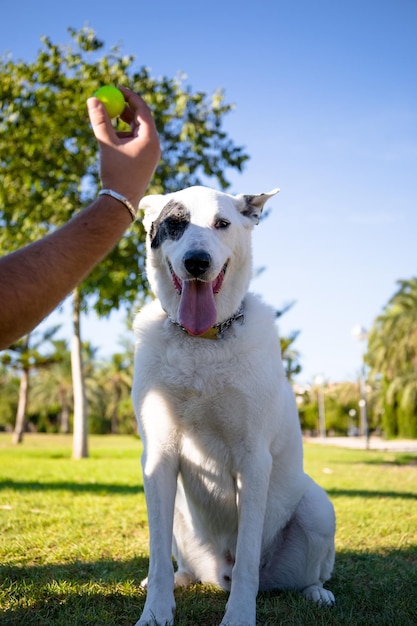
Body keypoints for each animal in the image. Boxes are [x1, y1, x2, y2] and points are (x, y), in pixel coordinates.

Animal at [132, 185, 334, 624]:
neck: (202, 341)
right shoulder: (158, 456)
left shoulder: (253, 459)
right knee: (179, 563)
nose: (197, 262)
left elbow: (247, 558)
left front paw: (239, 615)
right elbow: (156, 554)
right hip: (179, 517)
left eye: (222, 224)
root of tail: (217, 572)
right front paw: (155, 611)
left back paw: (316, 592)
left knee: (307, 572)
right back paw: (179, 579)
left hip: (317, 508)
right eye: (174, 223)